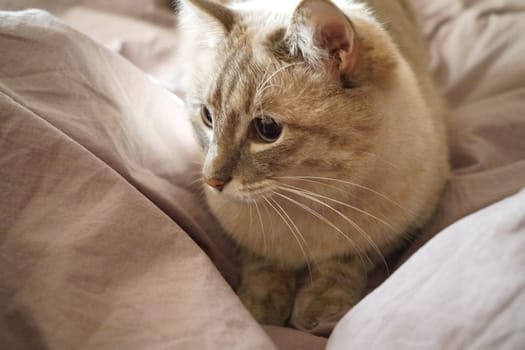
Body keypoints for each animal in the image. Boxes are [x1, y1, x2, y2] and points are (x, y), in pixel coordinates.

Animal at [178, 0, 448, 328]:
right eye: (207, 117)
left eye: (267, 129)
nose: (212, 181)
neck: (308, 199)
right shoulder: (248, 239)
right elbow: (263, 264)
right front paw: (260, 307)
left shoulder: (401, 228)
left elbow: (345, 261)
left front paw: (318, 307)